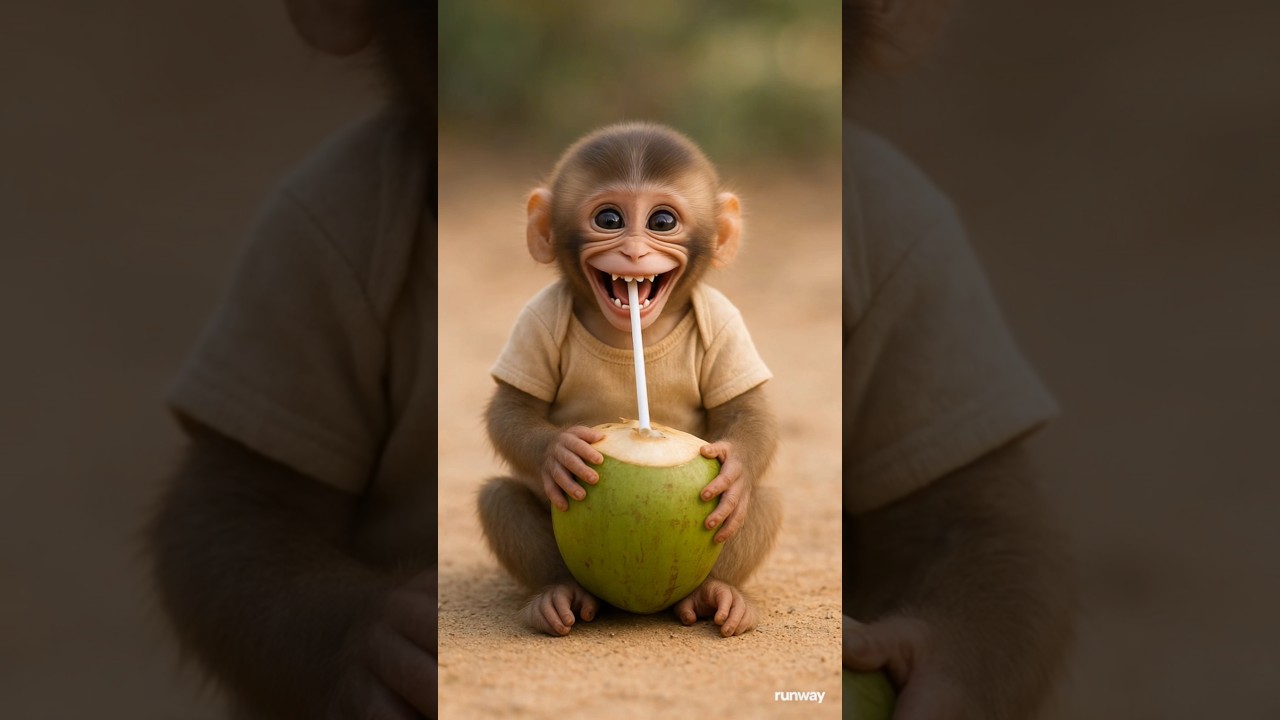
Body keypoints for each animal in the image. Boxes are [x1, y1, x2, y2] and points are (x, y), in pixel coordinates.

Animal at [476, 122, 784, 638]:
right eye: (609, 219)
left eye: (662, 222)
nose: (634, 252)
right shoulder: (536, 318)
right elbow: (512, 408)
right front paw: (560, 452)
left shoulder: (725, 321)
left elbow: (748, 409)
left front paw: (735, 471)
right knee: (500, 500)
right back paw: (558, 597)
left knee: (767, 501)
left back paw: (717, 596)